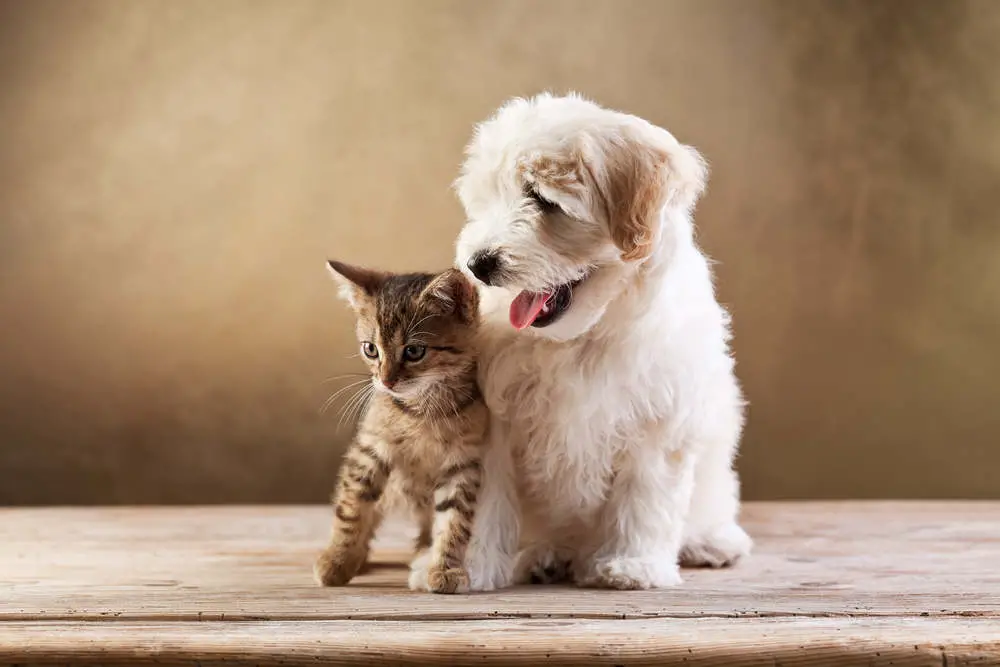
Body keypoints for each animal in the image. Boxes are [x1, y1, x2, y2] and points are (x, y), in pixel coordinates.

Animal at [312, 260, 484, 596]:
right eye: (370, 349)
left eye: (414, 351)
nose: (386, 381)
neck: (422, 411)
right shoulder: (369, 449)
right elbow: (351, 509)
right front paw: (337, 561)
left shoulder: (463, 462)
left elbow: (455, 520)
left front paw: (445, 568)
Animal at [454, 92, 752, 588]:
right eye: (487, 199)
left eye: (542, 199)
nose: (479, 263)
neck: (580, 337)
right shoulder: (493, 418)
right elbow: (484, 499)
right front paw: (465, 566)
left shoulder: (659, 416)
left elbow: (645, 495)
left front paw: (633, 565)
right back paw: (546, 555)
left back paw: (711, 541)